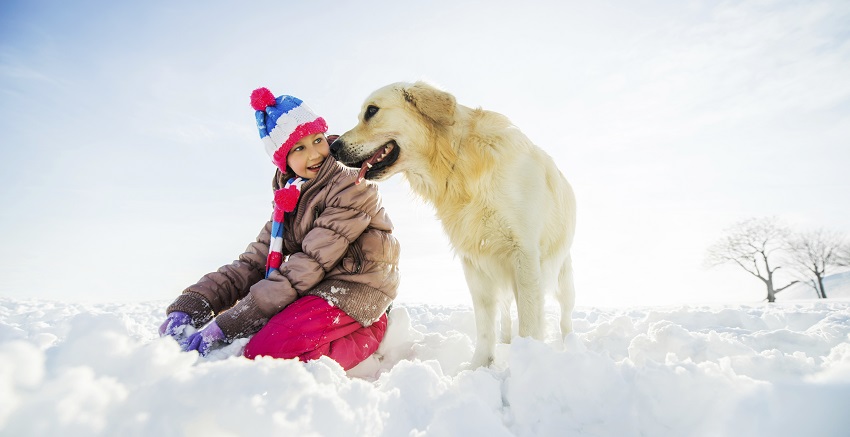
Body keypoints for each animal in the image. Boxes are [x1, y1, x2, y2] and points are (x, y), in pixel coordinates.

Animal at [332, 82, 576, 368]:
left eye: (371, 111)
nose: (333, 146)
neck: (457, 160)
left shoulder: (524, 254)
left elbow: (529, 321)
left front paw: (528, 361)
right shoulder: (474, 261)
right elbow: (485, 325)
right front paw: (479, 367)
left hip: (562, 278)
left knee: (565, 316)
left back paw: (570, 344)